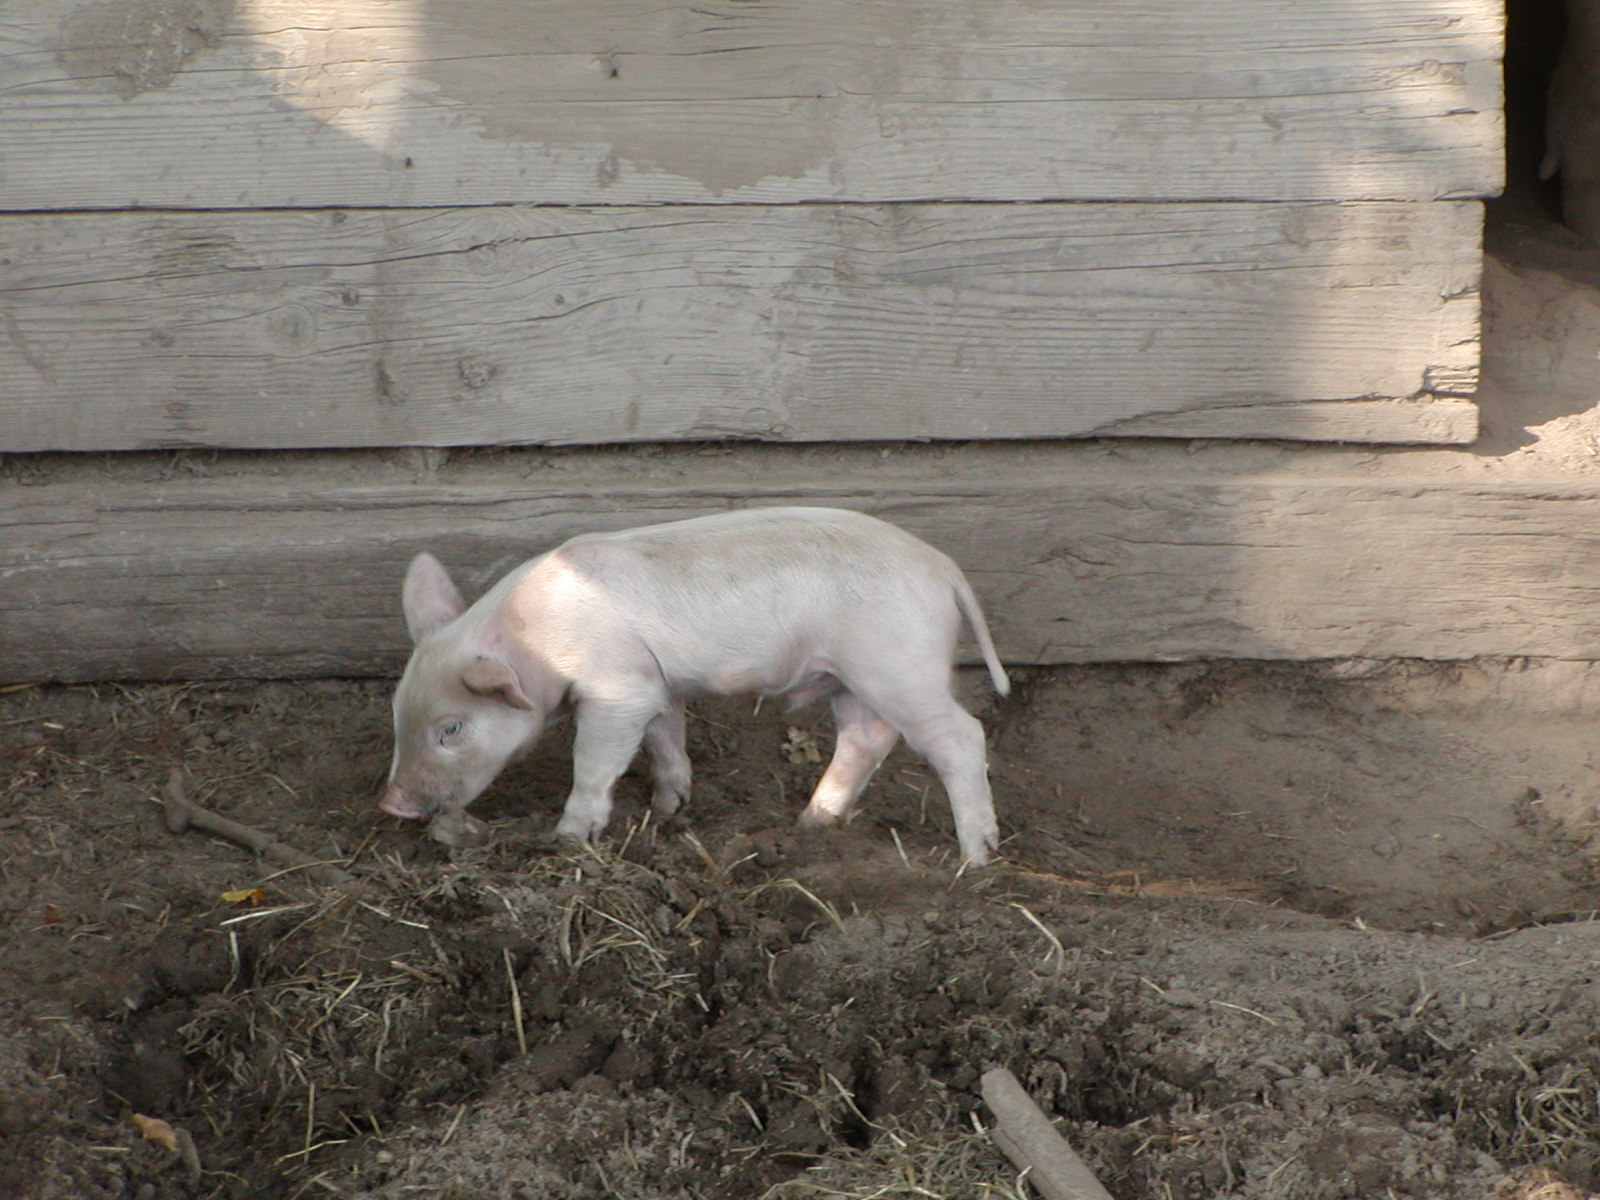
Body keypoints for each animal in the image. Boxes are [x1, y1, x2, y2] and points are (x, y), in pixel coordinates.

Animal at [380, 506, 1010, 866]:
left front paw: (569, 838)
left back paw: (976, 859)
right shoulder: (652, 684)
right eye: (396, 714)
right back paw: (811, 823)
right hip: (853, 678)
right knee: (865, 737)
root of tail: (941, 567)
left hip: (898, 664)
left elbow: (594, 762)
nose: (391, 804)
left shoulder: (617, 689)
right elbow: (665, 739)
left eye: (451, 727)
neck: (534, 641)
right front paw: (669, 810)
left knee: (961, 737)